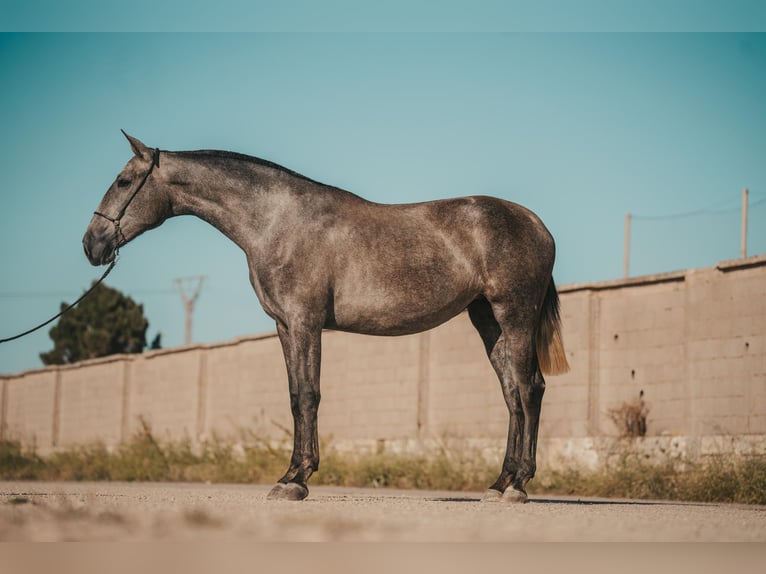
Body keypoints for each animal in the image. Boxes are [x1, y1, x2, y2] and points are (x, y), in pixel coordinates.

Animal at [84, 132, 568, 504]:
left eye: (124, 180)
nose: (92, 244)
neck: (276, 221)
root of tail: (536, 223)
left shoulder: (305, 322)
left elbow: (308, 396)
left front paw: (296, 480)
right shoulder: (284, 325)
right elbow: (294, 395)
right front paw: (290, 475)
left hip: (514, 315)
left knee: (529, 390)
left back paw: (519, 486)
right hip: (488, 320)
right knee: (512, 395)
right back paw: (499, 483)